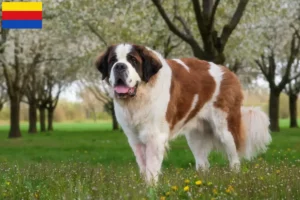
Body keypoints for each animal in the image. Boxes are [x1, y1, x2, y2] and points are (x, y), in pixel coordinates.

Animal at [96, 43, 272, 184]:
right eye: (112, 60)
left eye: (133, 60)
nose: (119, 66)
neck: (139, 97)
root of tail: (228, 72)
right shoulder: (135, 139)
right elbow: (143, 166)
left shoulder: (155, 137)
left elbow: (151, 168)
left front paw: (151, 189)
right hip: (195, 137)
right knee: (203, 163)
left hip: (225, 129)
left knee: (234, 158)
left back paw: (234, 178)